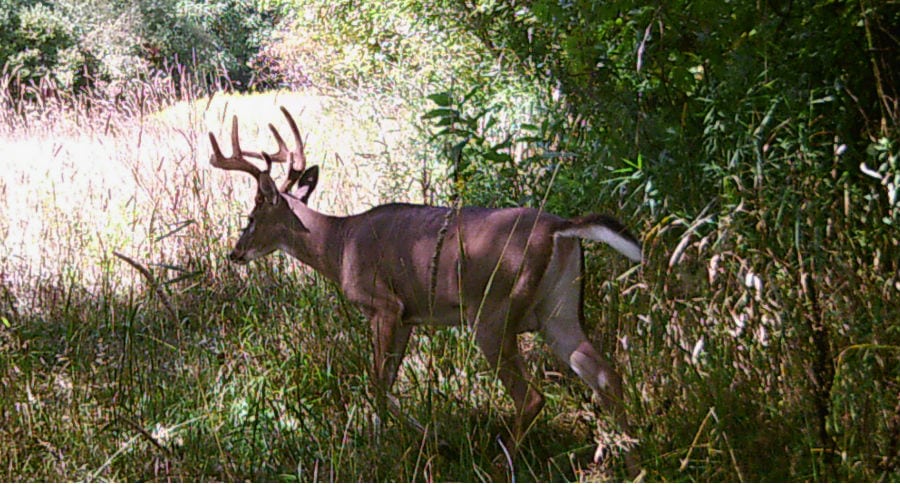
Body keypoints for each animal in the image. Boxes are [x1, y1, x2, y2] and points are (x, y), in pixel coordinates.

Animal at [209, 106, 643, 476]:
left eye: (251, 216)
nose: (235, 253)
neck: (339, 244)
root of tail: (560, 228)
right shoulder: (408, 316)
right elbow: (386, 380)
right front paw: (423, 437)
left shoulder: (383, 305)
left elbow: (377, 382)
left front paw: (383, 445)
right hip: (559, 310)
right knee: (605, 374)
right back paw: (626, 459)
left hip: (494, 313)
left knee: (532, 397)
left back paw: (501, 465)